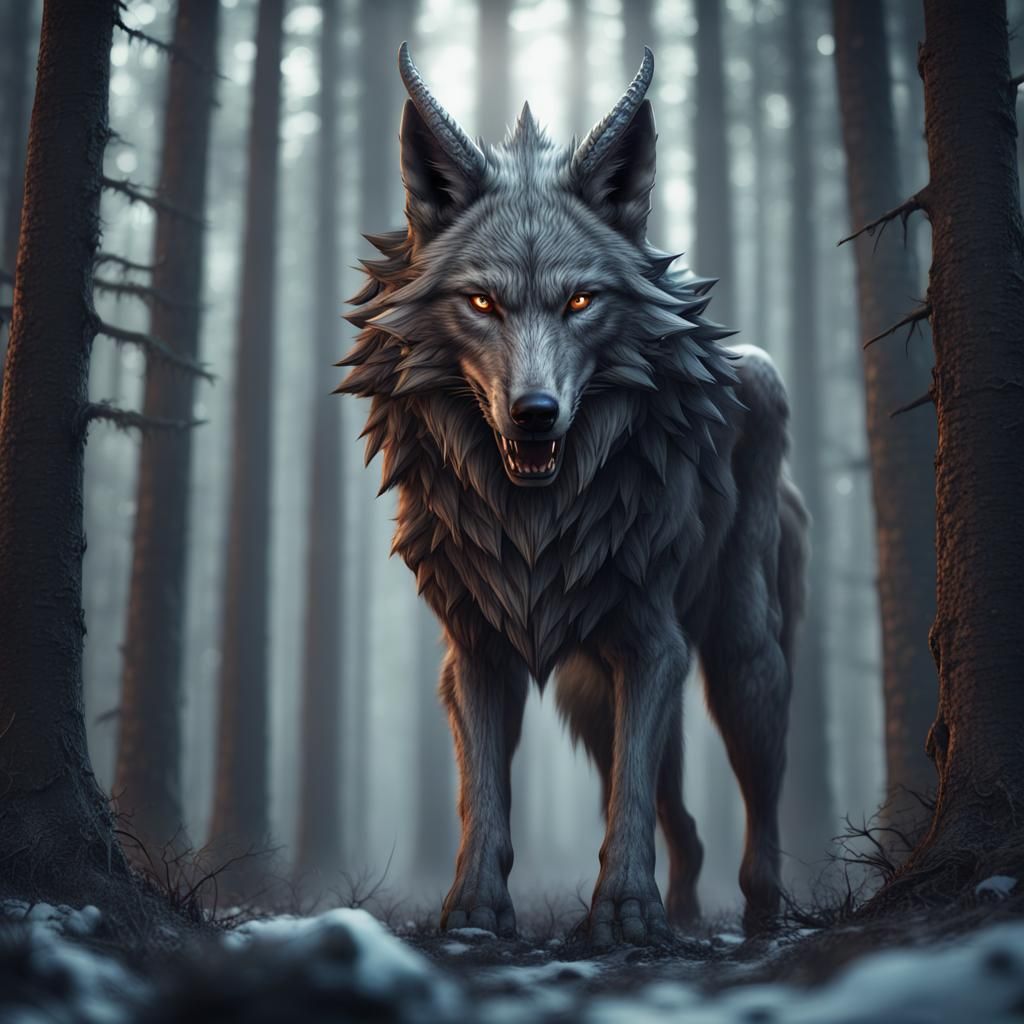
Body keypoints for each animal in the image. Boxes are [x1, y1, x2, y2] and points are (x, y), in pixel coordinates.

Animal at [340, 44, 808, 946]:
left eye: (581, 301)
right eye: (481, 301)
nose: (535, 413)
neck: (535, 520)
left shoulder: (654, 646)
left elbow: (627, 802)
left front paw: (624, 911)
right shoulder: (476, 651)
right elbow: (483, 795)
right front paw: (474, 910)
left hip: (740, 658)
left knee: (757, 789)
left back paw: (765, 909)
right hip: (590, 697)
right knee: (681, 818)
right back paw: (687, 906)